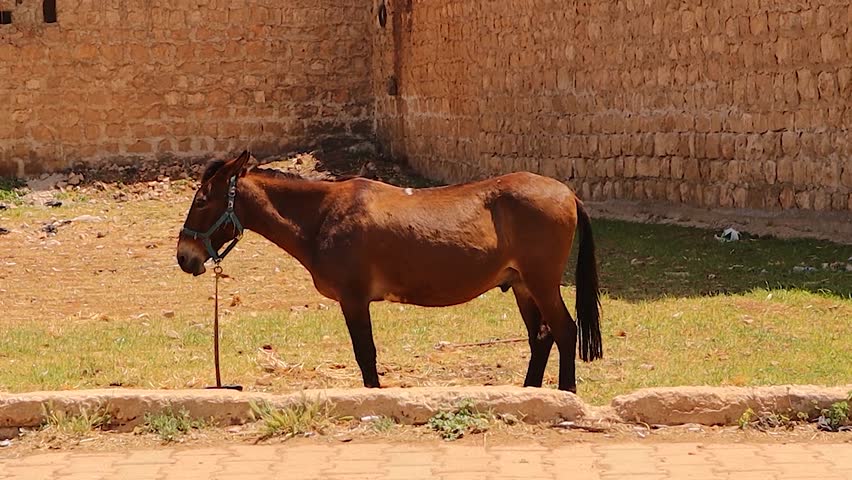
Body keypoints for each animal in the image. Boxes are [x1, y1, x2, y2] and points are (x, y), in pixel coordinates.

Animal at [176, 151, 603, 393]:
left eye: (202, 201)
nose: (184, 257)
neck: (323, 215)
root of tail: (567, 193)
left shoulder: (353, 298)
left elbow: (365, 354)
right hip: (521, 285)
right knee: (541, 337)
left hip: (541, 282)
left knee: (564, 331)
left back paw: (566, 394)